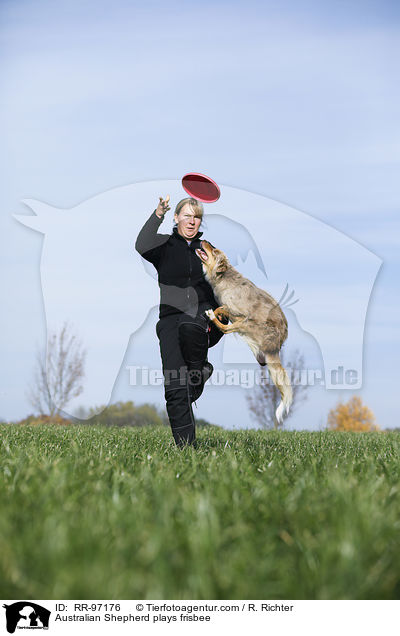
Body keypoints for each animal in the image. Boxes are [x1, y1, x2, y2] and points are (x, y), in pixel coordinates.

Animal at [195, 238, 292, 422]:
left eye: (214, 251)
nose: (204, 240)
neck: (222, 277)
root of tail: (276, 345)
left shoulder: (239, 312)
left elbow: (222, 309)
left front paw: (216, 314)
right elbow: (221, 308)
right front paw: (218, 313)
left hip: (249, 323)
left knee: (226, 329)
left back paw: (212, 317)